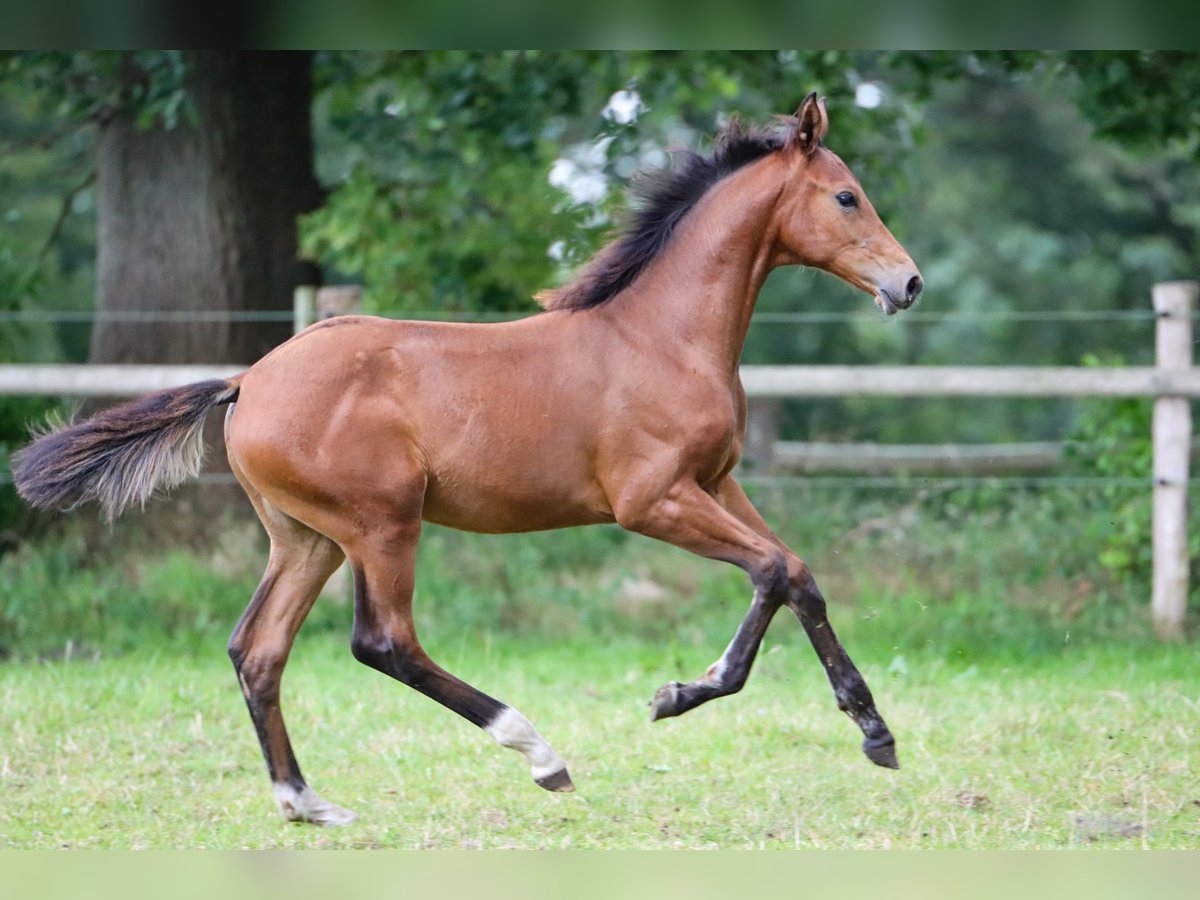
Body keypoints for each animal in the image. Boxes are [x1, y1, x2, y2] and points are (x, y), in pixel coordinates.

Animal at [11, 95, 916, 830]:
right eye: (846, 196)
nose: (907, 284)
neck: (664, 336)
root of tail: (247, 381)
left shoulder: (718, 482)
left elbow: (797, 573)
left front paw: (869, 729)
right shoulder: (652, 499)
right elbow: (771, 570)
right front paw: (685, 695)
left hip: (307, 539)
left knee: (257, 650)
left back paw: (305, 802)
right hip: (380, 524)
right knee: (383, 642)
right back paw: (539, 752)